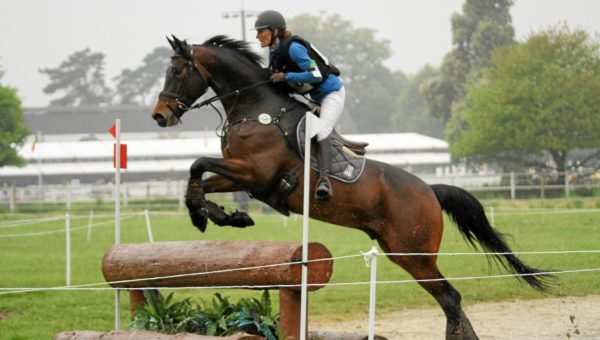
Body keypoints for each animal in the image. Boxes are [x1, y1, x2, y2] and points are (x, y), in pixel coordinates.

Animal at [151, 35, 552, 340]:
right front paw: (221, 216)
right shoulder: (241, 176)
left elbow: (197, 164)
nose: (160, 115)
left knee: (451, 297)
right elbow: (200, 179)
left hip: (414, 254)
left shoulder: (255, 172)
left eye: (178, 71)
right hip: (400, 251)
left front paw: (205, 216)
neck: (255, 108)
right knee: (448, 298)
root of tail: (429, 190)